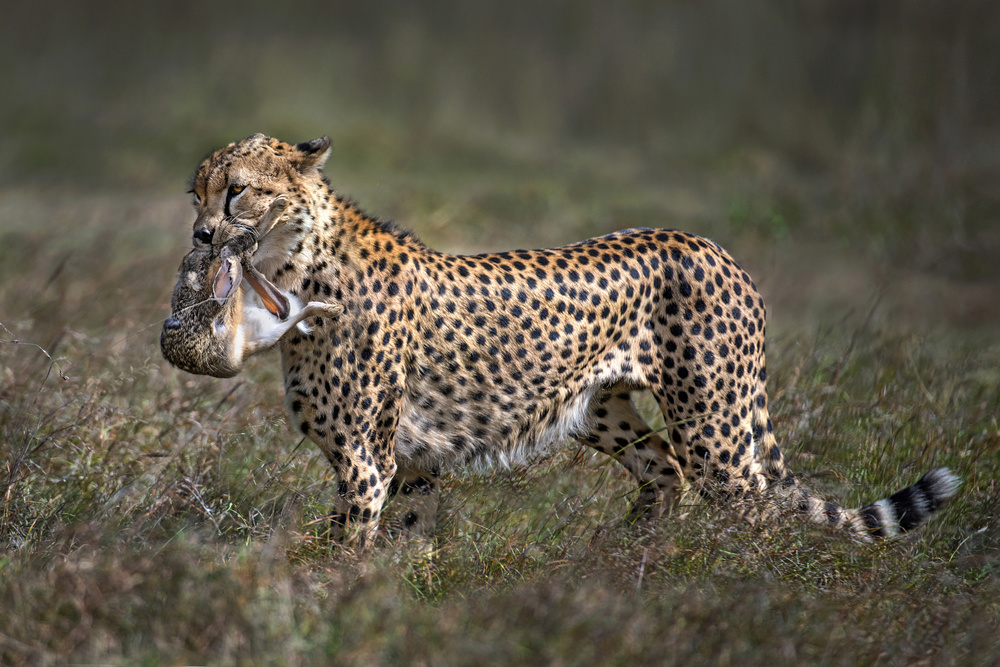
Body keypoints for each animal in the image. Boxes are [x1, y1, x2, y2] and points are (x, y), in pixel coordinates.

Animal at [174, 134, 960, 548]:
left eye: (238, 190)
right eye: (197, 192)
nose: (203, 236)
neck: (297, 267)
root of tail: (713, 245)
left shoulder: (367, 460)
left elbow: (341, 551)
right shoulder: (410, 461)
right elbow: (404, 537)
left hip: (716, 426)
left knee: (753, 510)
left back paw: (740, 600)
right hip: (600, 409)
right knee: (661, 469)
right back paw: (629, 565)